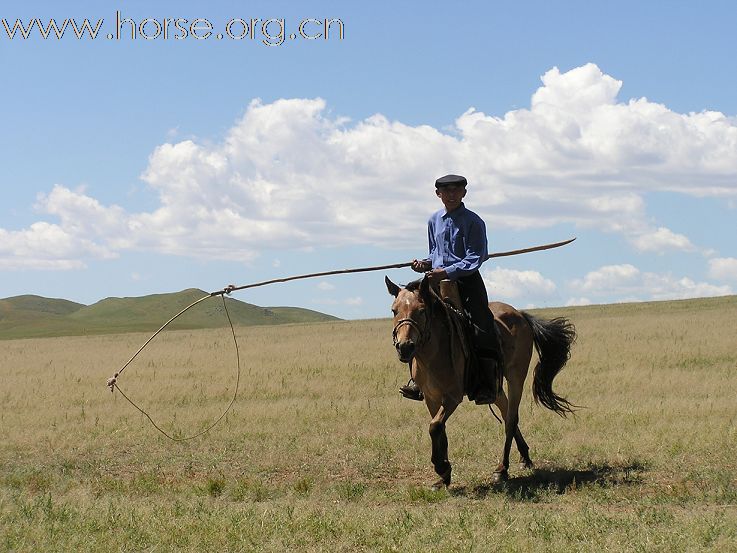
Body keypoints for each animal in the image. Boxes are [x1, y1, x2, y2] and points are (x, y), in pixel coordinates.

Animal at [386, 274, 576, 486]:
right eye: (394, 310)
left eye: (421, 310)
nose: (404, 347)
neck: (433, 353)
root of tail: (519, 314)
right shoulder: (431, 397)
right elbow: (438, 428)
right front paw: (444, 476)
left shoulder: (452, 397)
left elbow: (435, 427)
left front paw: (442, 467)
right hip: (494, 388)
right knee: (506, 412)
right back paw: (525, 457)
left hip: (516, 376)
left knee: (511, 419)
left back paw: (502, 469)